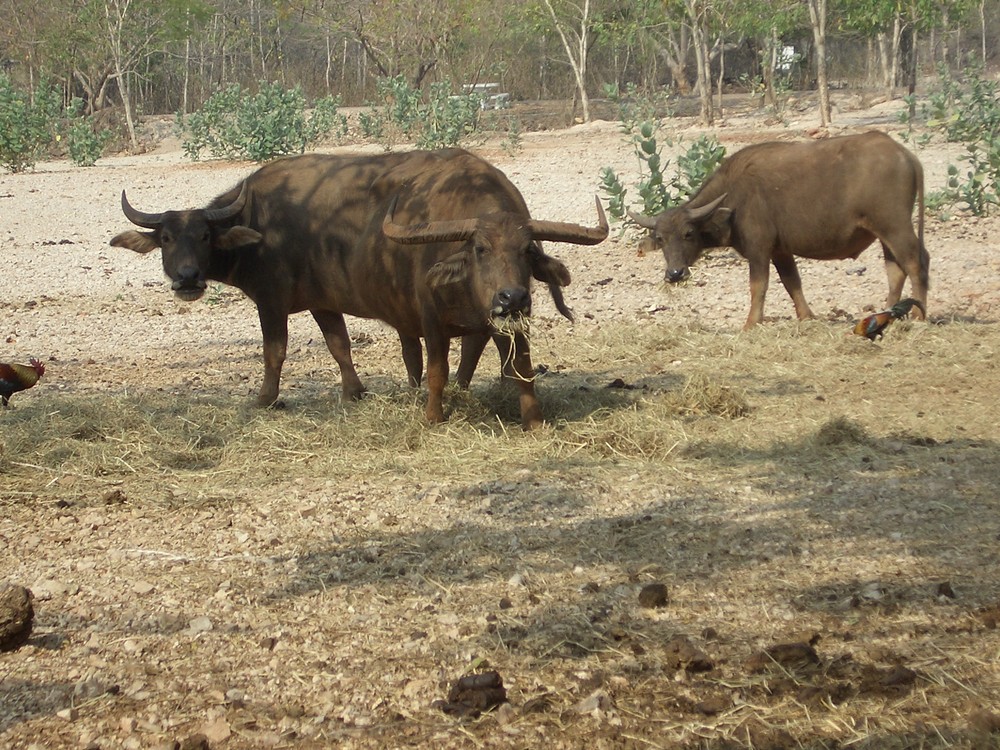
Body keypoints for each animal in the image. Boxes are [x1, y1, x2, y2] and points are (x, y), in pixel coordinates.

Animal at [112, 149, 604, 428]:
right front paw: (354, 392)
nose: (187, 277)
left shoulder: (271, 302)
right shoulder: (323, 302)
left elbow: (275, 352)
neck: (260, 224)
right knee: (476, 344)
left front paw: (265, 399)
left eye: (204, 235)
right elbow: (339, 345)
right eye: (167, 238)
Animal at [632, 131, 928, 328]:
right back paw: (887, 313)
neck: (734, 198)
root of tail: (905, 155)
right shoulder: (781, 251)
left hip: (895, 226)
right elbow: (791, 282)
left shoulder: (759, 249)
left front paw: (751, 323)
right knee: (895, 269)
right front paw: (806, 316)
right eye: (660, 238)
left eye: (688, 233)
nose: (675, 273)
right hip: (883, 233)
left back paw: (918, 314)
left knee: (916, 261)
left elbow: (758, 286)